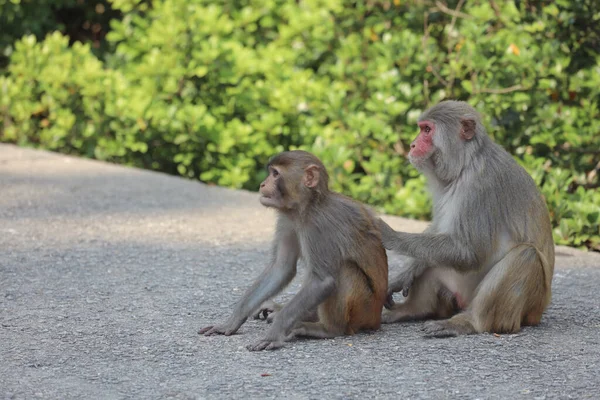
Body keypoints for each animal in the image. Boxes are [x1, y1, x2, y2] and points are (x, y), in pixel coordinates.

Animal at [200, 149, 390, 350]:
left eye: (275, 174)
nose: (262, 184)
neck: (308, 206)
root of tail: (376, 318)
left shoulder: (318, 227)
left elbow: (322, 281)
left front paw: (274, 333)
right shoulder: (287, 220)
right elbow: (281, 268)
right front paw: (232, 321)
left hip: (363, 308)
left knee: (344, 270)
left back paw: (327, 328)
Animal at [378, 101, 556, 338]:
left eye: (427, 130)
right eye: (421, 128)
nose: (412, 145)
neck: (465, 163)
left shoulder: (480, 187)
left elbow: (471, 252)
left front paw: (390, 235)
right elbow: (440, 231)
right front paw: (403, 275)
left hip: (528, 306)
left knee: (526, 255)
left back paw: (470, 323)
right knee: (434, 256)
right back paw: (412, 310)